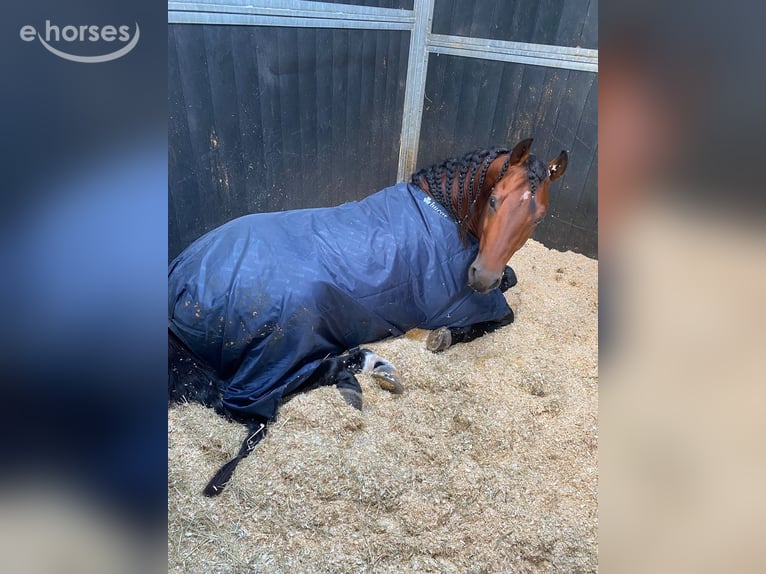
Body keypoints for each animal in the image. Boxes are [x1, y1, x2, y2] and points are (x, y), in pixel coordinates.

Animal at [168, 137, 568, 495]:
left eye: (538, 217)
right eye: (495, 200)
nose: (482, 277)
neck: (447, 211)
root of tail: (182, 283)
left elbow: (512, 278)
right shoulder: (462, 303)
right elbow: (501, 316)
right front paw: (443, 336)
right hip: (284, 343)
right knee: (267, 394)